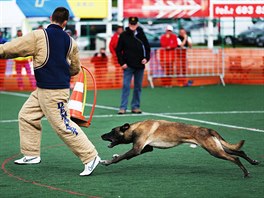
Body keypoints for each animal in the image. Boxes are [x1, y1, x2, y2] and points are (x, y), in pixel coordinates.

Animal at [101, 120, 260, 177]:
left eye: (112, 131)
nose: (101, 135)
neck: (135, 128)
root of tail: (208, 129)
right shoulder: (146, 148)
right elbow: (124, 155)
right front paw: (114, 157)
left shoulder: (137, 149)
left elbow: (123, 156)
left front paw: (108, 162)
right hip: (219, 148)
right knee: (240, 151)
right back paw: (253, 162)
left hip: (214, 151)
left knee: (235, 157)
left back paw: (246, 172)